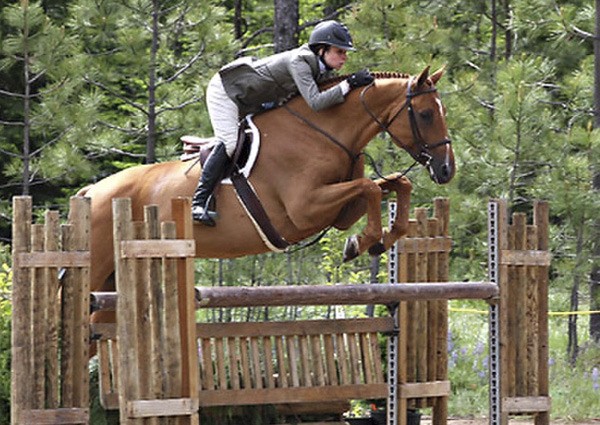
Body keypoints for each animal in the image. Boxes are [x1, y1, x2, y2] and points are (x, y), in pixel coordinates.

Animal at [81, 67, 454, 298]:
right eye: (425, 114)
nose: (447, 170)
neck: (322, 131)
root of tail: (91, 192)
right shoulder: (305, 209)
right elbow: (372, 187)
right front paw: (363, 242)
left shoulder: (337, 212)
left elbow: (392, 186)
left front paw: (376, 240)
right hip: (98, 267)